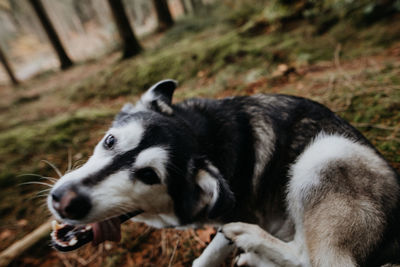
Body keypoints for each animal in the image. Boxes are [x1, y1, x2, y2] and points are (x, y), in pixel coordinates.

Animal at [47, 79, 400, 266]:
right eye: (110, 141)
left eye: (149, 176)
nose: (63, 200)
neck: (203, 139)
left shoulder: (231, 218)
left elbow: (203, 258)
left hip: (323, 153)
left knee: (314, 259)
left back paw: (251, 241)